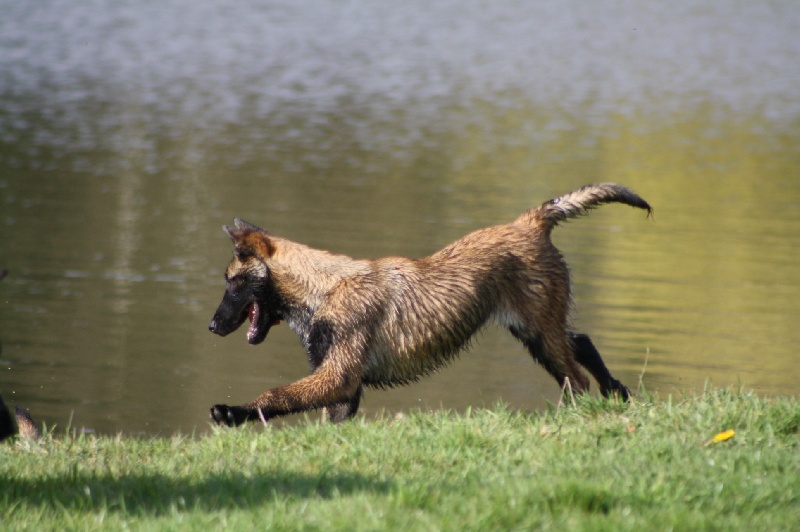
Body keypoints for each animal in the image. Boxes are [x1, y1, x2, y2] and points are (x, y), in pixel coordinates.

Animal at [206, 185, 648, 426]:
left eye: (231, 282)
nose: (211, 327)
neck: (324, 286)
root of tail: (529, 222)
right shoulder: (342, 391)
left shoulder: (338, 379)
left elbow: (273, 395)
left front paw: (231, 412)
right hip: (535, 330)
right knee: (582, 343)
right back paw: (617, 391)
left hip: (539, 332)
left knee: (577, 378)